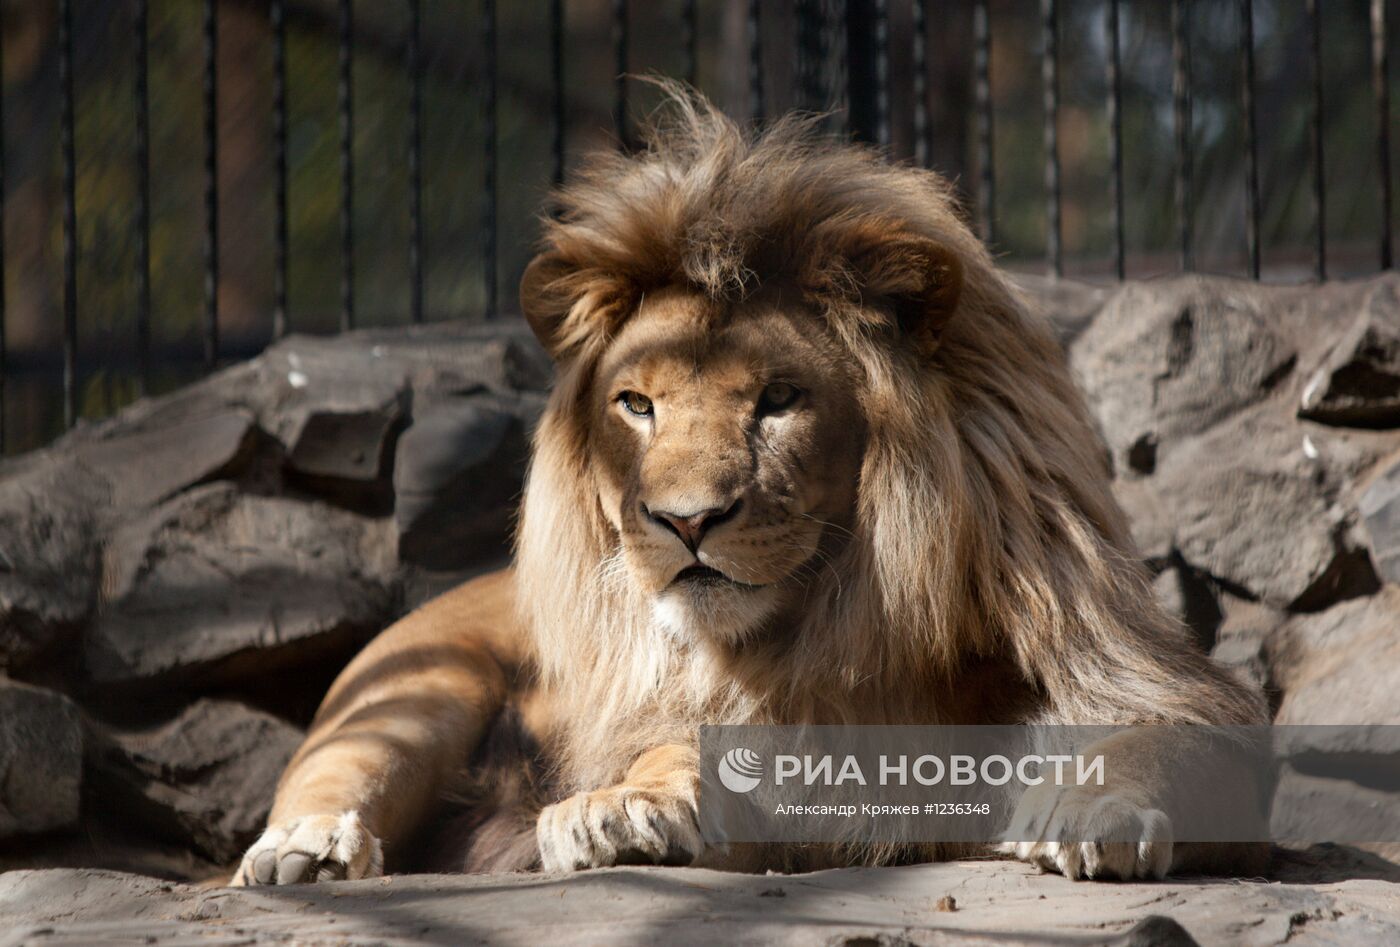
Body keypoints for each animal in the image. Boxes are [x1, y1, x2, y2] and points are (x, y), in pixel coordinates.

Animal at [238, 90, 1271, 885]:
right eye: (637, 404)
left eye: (778, 401)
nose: (685, 520)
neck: (844, 616)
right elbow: (686, 745)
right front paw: (622, 807)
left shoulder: (1132, 672)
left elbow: (1167, 738)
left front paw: (1087, 810)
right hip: (415, 686)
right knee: (334, 775)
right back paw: (309, 850)